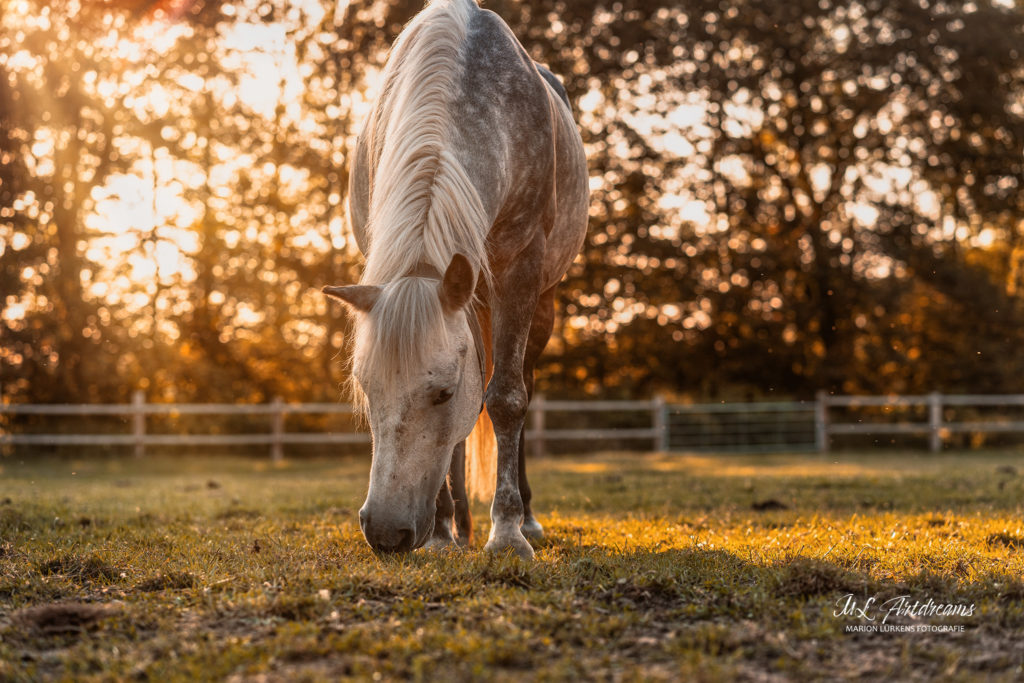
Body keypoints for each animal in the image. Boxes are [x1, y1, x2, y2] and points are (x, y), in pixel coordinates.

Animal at [323, 0, 589, 557]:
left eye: (443, 393)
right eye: (367, 388)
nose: (385, 533)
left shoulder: (520, 270)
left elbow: (506, 399)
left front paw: (507, 532)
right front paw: (444, 533)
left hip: (538, 304)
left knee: (521, 385)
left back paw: (525, 518)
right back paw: (458, 524)